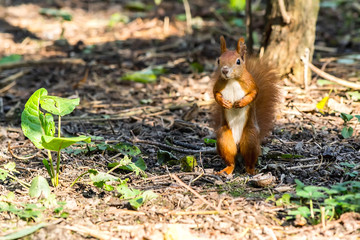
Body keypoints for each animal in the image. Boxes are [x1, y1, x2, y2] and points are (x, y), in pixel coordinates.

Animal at [212, 36, 280, 174]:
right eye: (218, 60)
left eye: (238, 61)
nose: (225, 70)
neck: (232, 80)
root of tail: (238, 147)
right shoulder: (217, 86)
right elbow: (215, 94)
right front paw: (224, 103)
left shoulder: (251, 84)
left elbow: (254, 94)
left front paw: (241, 102)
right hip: (224, 139)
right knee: (231, 160)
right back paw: (226, 170)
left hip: (250, 138)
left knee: (249, 159)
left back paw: (251, 170)